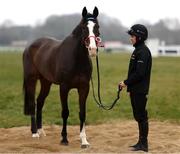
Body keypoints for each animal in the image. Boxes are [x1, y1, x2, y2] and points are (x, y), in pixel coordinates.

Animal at [22, 6, 100, 147]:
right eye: (84, 27)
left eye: (97, 27)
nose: (92, 49)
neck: (76, 58)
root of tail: (30, 46)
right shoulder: (64, 87)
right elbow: (65, 112)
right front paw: (64, 139)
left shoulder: (84, 88)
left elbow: (82, 113)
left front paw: (84, 141)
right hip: (31, 79)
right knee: (32, 103)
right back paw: (35, 132)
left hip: (46, 82)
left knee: (40, 101)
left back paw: (41, 131)